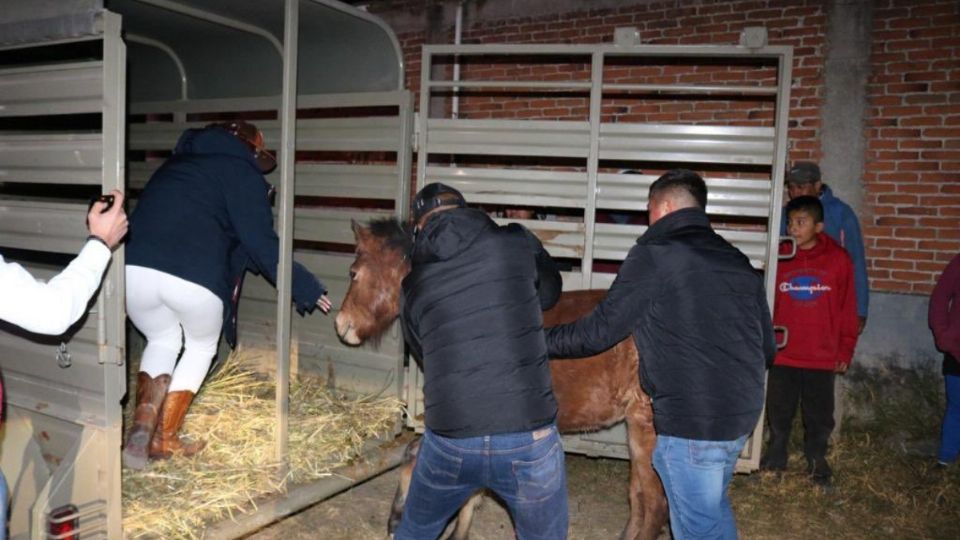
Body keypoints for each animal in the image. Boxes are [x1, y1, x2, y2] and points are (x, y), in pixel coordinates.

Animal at [338, 217, 668, 540]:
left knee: (654, 504)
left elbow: (418, 459)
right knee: (638, 497)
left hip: (645, 427)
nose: (342, 324)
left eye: (353, 273)